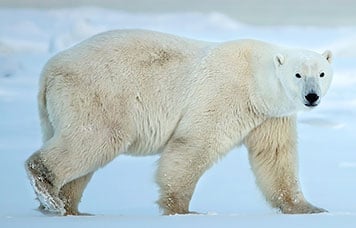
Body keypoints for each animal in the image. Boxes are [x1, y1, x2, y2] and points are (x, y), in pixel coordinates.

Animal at [25, 29, 334, 216]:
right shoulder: (224, 93)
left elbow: (275, 158)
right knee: (95, 139)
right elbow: (194, 143)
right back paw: (50, 193)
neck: (256, 79)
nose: (311, 96)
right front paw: (182, 210)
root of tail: (48, 71)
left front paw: (310, 208)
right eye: (297, 74)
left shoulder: (270, 116)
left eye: (321, 73)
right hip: (98, 95)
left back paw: (71, 208)